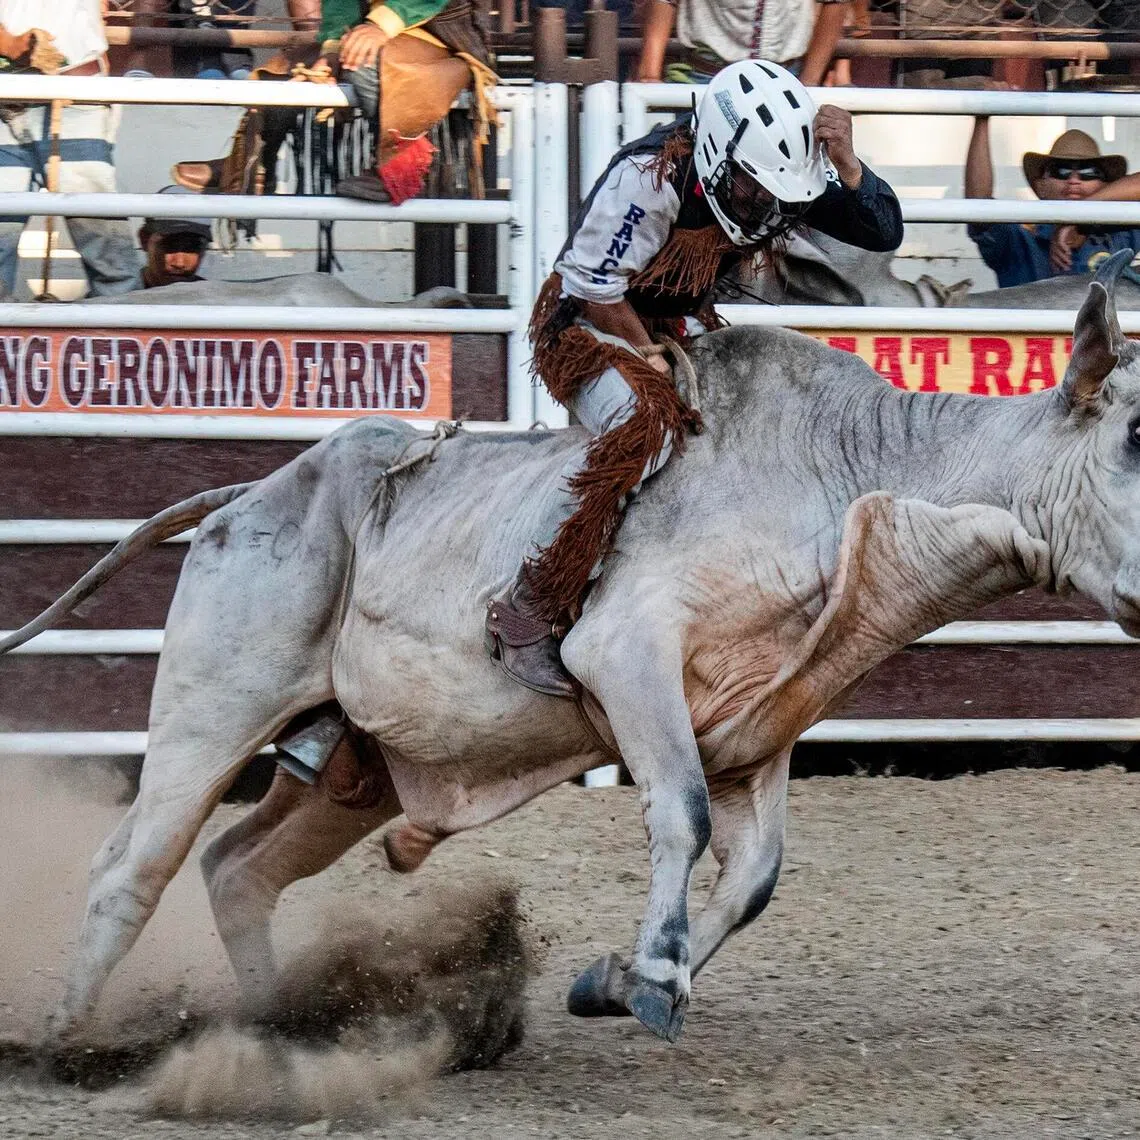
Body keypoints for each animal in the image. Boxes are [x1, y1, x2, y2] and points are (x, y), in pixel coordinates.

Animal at [5, 251, 1140, 1049]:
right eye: (1132, 438)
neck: (847, 482)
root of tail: (249, 495)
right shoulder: (628, 658)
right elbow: (678, 813)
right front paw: (653, 980)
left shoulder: (756, 729)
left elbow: (754, 874)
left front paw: (616, 979)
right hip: (212, 711)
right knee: (134, 867)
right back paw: (71, 1040)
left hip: (353, 770)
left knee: (239, 868)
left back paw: (282, 1026)